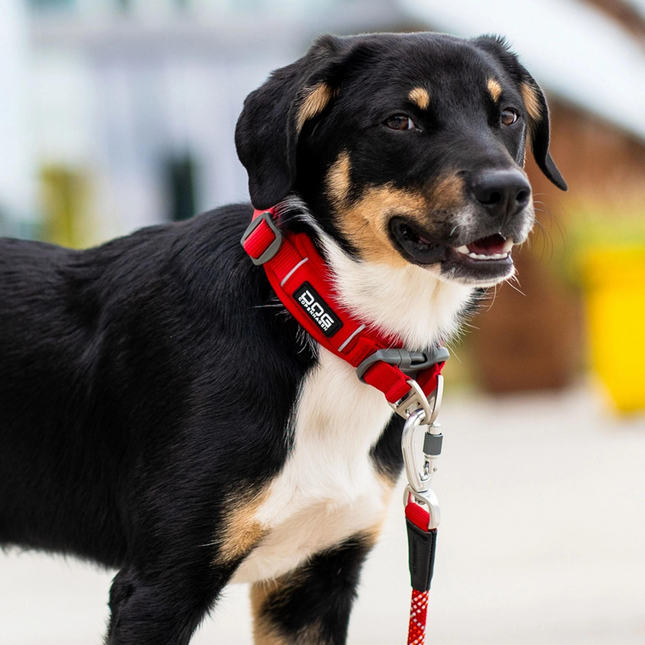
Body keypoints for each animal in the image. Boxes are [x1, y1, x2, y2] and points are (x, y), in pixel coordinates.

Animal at [0, 31, 564, 644]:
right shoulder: (159, 585)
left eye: (507, 116)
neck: (324, 330)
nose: (508, 193)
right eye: (400, 121)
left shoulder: (312, 581)